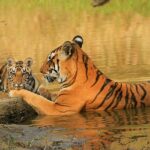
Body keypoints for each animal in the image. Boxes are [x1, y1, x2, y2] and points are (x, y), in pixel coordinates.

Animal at [9, 35, 150, 115]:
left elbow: (35, 99)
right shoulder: (59, 100)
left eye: (49, 59)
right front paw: (42, 89)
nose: (40, 70)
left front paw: (14, 91)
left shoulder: (60, 109)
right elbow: (48, 95)